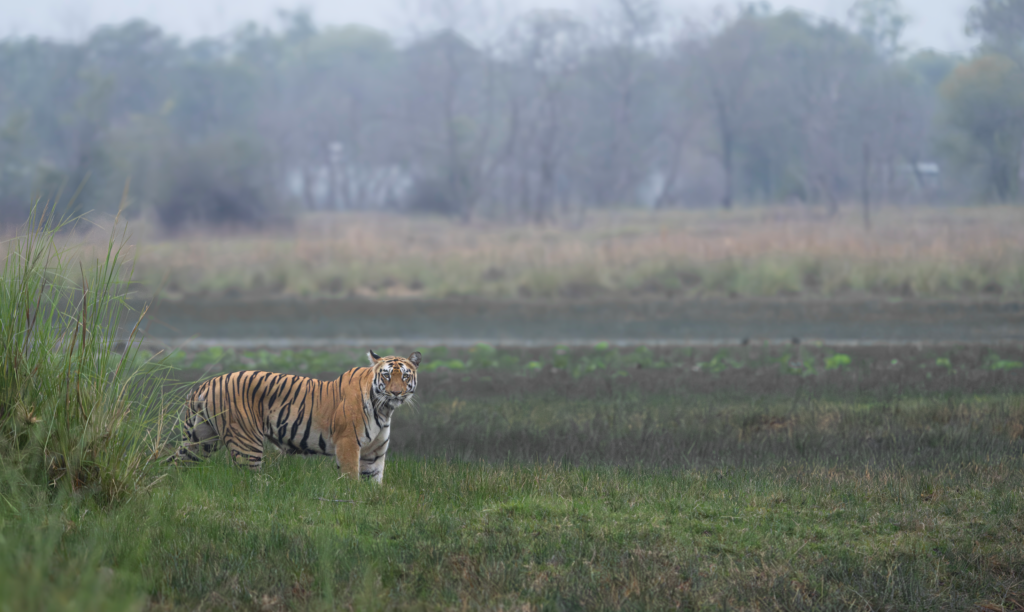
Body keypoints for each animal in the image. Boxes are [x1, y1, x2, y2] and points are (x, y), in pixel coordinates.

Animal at [172, 350, 419, 485]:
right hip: (246, 443)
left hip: (200, 440)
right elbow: (351, 477)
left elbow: (373, 482)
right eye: (386, 376)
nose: (396, 393)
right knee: (248, 480)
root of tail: (206, 384)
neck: (384, 409)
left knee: (179, 465)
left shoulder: (374, 453)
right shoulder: (348, 443)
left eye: (405, 376)